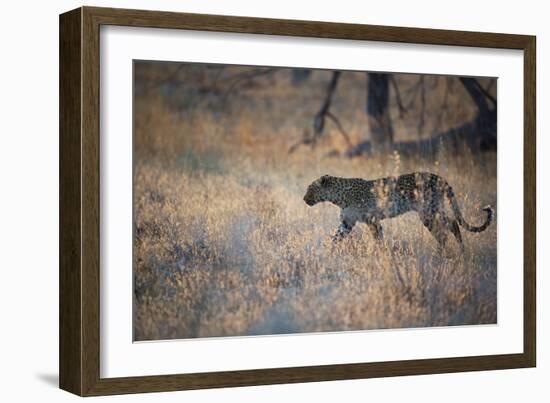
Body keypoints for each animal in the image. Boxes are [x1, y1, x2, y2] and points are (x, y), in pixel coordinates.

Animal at [304, 173, 494, 254]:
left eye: (310, 189)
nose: (304, 199)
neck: (338, 197)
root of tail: (439, 177)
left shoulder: (371, 220)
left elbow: (378, 239)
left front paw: (381, 254)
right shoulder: (347, 223)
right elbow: (336, 238)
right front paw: (328, 254)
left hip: (428, 211)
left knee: (443, 232)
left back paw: (441, 254)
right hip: (433, 209)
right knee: (452, 224)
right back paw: (460, 251)